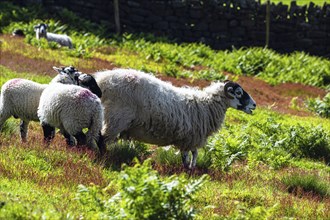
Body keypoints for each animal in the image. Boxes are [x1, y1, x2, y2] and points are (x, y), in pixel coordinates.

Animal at [94, 68, 256, 168]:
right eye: (239, 93)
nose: (254, 105)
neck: (206, 105)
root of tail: (104, 79)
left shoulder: (191, 138)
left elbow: (194, 155)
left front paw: (192, 168)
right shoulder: (188, 138)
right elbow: (186, 158)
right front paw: (186, 172)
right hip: (116, 118)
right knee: (102, 139)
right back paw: (103, 159)